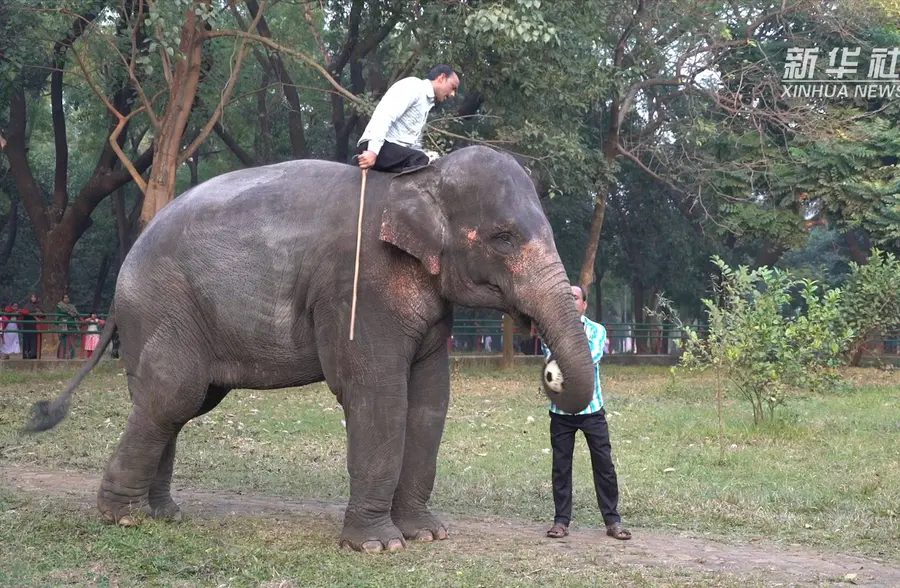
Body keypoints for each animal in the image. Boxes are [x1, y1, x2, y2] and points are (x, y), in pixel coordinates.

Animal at [26, 145, 596, 552]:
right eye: (503, 238)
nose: (548, 370)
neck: (419, 181)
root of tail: (122, 274)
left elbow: (431, 400)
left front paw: (428, 534)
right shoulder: (356, 288)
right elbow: (376, 395)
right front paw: (379, 547)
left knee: (170, 403)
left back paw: (162, 514)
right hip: (162, 306)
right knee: (172, 395)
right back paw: (121, 517)